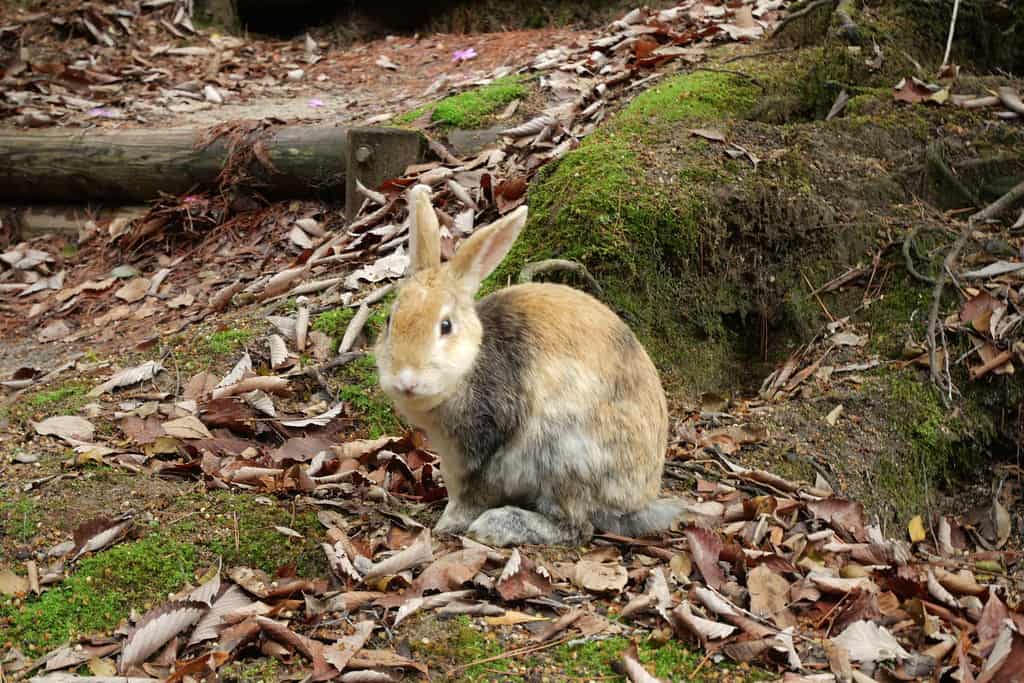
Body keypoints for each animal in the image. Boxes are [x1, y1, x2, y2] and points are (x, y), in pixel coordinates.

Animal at [376, 184, 679, 548]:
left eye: (445, 326)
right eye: (390, 321)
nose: (406, 379)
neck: (469, 367)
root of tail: (642, 494)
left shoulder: (487, 452)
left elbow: (472, 496)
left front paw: (449, 524)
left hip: (565, 455)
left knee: (577, 527)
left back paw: (498, 525)